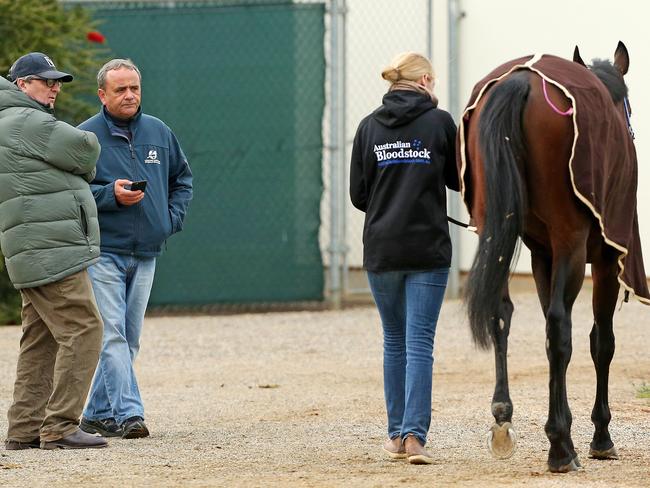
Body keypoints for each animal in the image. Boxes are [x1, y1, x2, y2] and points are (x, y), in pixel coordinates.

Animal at [458, 43, 644, 472]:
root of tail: (520, 81)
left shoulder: (542, 257)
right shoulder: (605, 259)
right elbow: (600, 341)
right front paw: (599, 436)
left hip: (494, 228)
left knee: (500, 313)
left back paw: (503, 418)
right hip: (571, 243)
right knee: (561, 326)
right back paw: (560, 447)